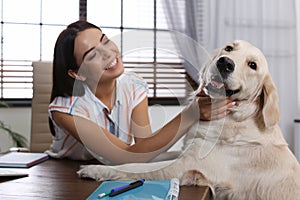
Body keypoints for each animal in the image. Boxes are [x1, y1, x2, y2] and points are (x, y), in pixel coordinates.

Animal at [77, 39, 300, 199]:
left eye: (252, 65)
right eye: (229, 48)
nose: (225, 62)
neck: (233, 117)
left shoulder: (185, 165)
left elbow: (134, 168)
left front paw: (95, 169)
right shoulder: (185, 151)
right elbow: (147, 156)